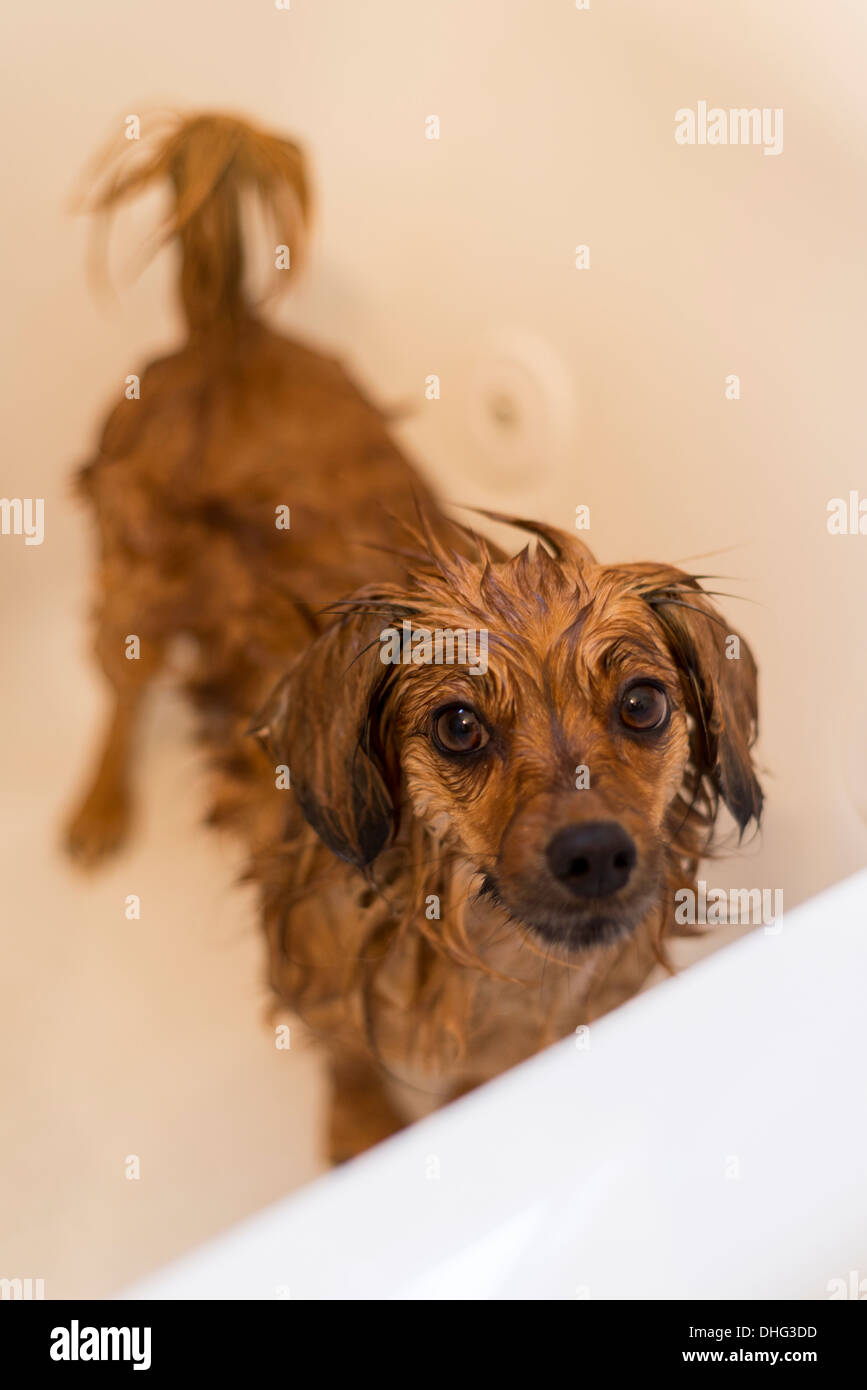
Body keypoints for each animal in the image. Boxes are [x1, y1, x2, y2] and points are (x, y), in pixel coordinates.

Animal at [67, 113, 761, 1162]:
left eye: (642, 704)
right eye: (458, 727)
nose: (594, 854)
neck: (486, 951)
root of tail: (230, 330)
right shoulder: (315, 976)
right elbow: (349, 1059)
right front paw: (361, 1135)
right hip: (133, 589)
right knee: (120, 694)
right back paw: (100, 808)